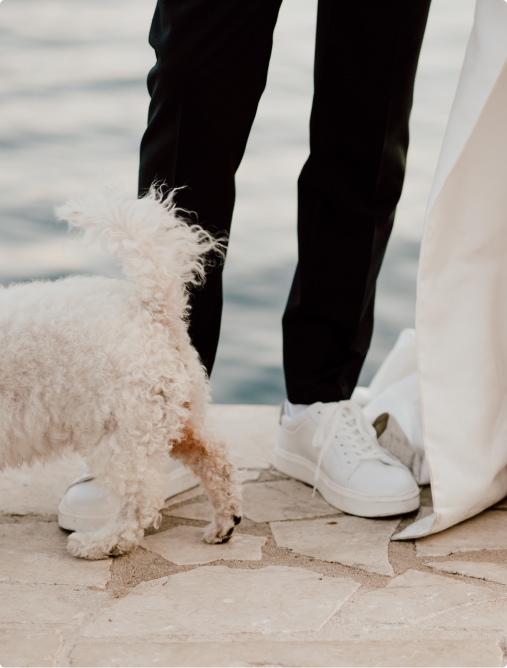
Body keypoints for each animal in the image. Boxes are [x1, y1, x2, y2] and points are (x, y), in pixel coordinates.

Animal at [0, 187, 244, 560]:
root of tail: (153, 309)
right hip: (179, 414)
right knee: (215, 459)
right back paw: (224, 523)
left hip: (126, 432)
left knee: (139, 503)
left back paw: (102, 542)